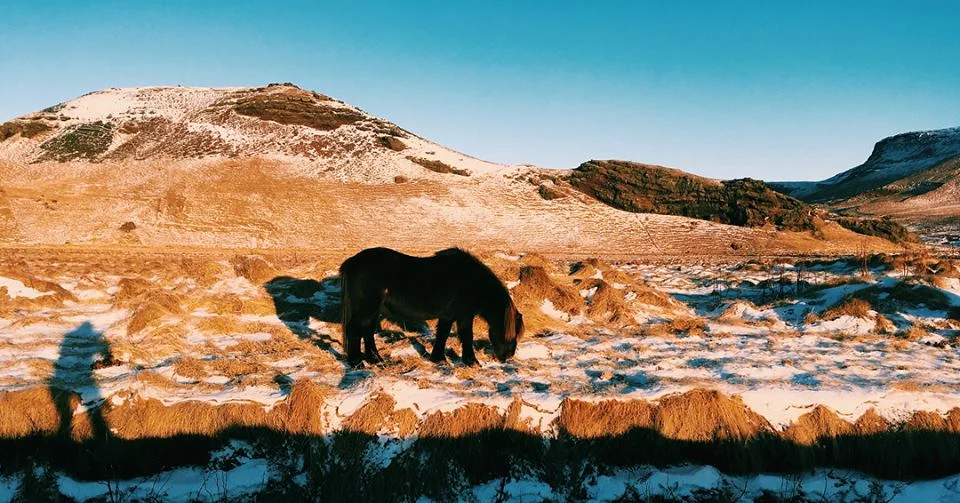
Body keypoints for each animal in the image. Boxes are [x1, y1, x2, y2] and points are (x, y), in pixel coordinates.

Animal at [339, 247, 524, 367]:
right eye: (511, 331)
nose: (508, 356)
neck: (473, 282)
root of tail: (352, 263)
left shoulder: (448, 316)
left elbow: (442, 335)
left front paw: (439, 359)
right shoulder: (464, 315)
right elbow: (467, 336)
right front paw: (472, 362)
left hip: (373, 311)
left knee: (367, 332)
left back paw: (376, 360)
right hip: (367, 308)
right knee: (354, 330)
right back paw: (357, 363)